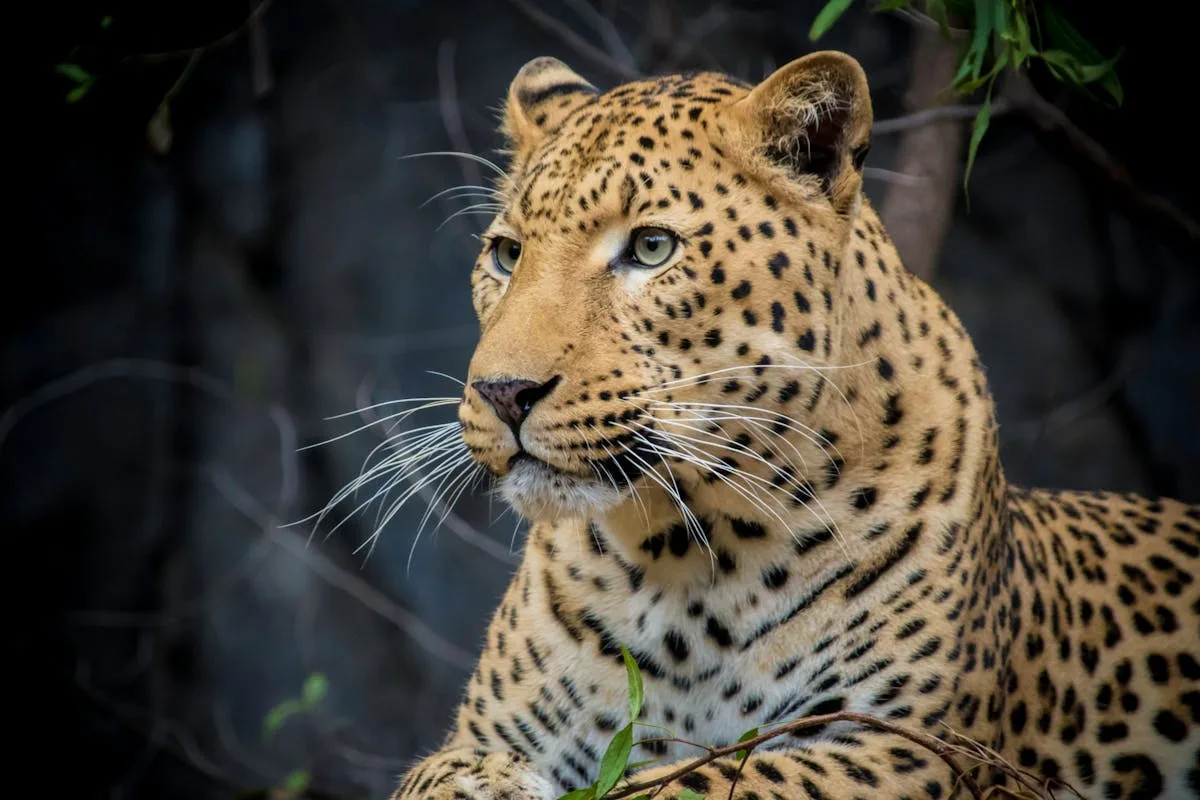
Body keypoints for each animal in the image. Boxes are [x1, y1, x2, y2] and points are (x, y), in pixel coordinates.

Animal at [388, 51, 1200, 800]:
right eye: (507, 254)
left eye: (652, 247)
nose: (503, 393)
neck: (684, 563)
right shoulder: (483, 734)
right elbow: (434, 774)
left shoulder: (905, 748)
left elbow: (709, 781)